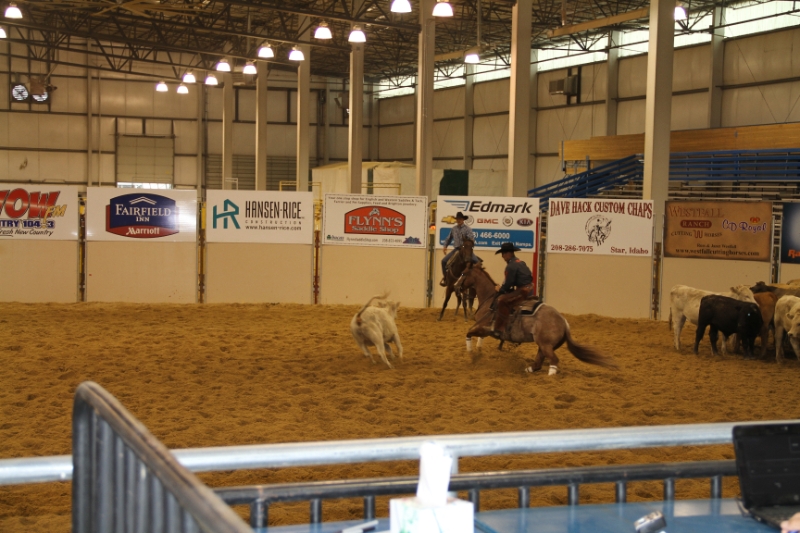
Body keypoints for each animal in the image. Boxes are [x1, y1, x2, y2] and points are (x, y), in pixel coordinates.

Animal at [454, 262, 618, 375]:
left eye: (463, 273)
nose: (455, 286)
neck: (490, 299)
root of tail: (564, 322)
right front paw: (477, 351)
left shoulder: (485, 328)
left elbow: (469, 333)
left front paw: (472, 354)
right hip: (544, 345)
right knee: (539, 362)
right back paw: (528, 369)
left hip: (545, 345)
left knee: (553, 361)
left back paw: (550, 375)